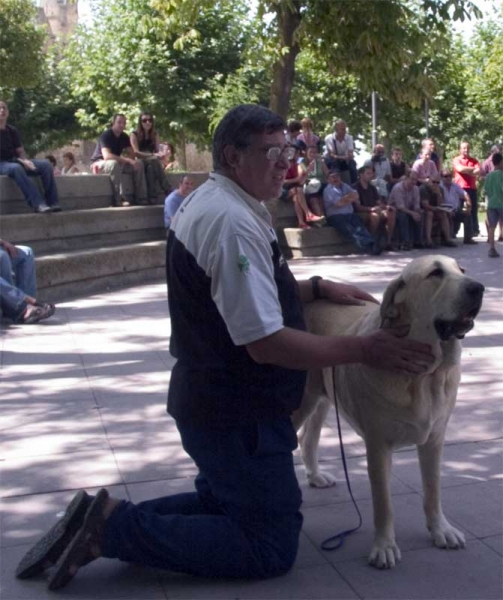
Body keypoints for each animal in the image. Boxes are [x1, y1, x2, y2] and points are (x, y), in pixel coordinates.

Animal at [294, 255, 486, 568]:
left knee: (307, 438)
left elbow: (433, 490)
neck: (425, 376)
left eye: (462, 270)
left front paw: (441, 530)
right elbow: (383, 503)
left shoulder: (434, 440)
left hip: (321, 394)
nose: (478, 288)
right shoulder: (378, 446)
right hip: (302, 400)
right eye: (435, 273)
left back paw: (316, 476)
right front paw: (384, 546)